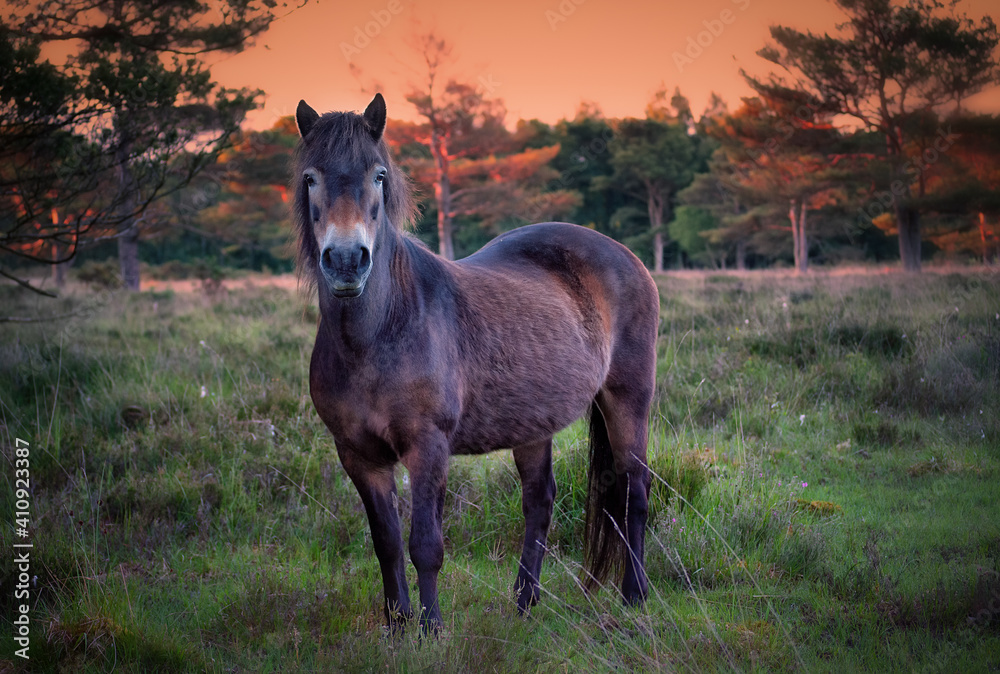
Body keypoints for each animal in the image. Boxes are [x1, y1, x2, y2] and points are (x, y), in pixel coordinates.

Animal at [293, 93, 659, 631]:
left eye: (378, 175)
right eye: (310, 178)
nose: (345, 261)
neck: (379, 336)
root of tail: (624, 255)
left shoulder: (428, 446)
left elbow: (425, 546)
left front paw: (430, 629)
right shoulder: (358, 455)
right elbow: (386, 544)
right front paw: (396, 625)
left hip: (627, 399)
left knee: (634, 488)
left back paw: (634, 595)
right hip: (533, 423)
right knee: (539, 500)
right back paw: (524, 602)